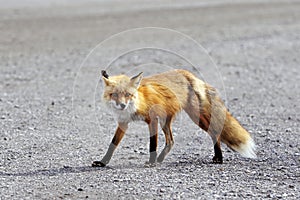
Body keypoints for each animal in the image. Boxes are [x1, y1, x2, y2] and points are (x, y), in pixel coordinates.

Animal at [92, 69, 256, 167]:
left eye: (127, 94)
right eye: (114, 94)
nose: (122, 105)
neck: (139, 102)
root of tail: (186, 73)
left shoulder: (152, 120)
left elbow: (152, 144)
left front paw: (151, 162)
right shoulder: (123, 123)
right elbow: (113, 144)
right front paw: (103, 162)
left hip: (196, 117)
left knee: (215, 133)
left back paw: (219, 158)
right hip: (166, 121)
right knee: (171, 141)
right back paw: (161, 159)